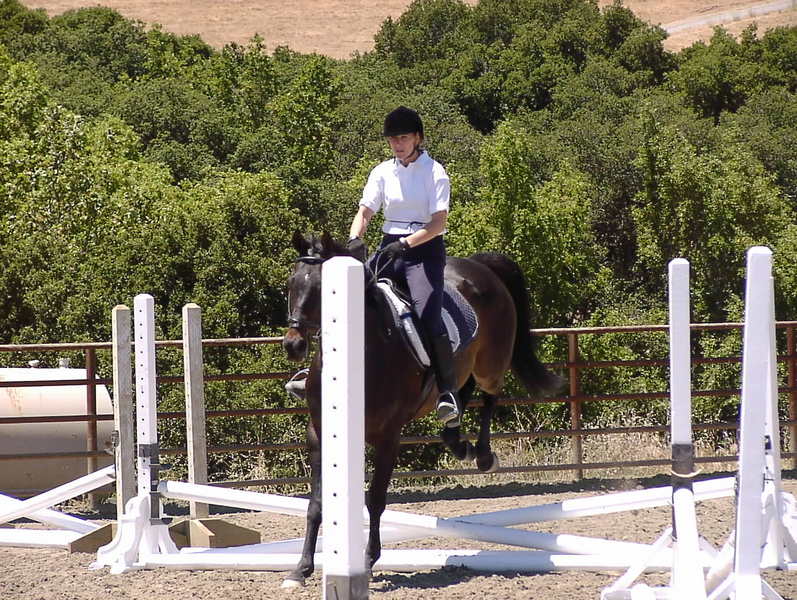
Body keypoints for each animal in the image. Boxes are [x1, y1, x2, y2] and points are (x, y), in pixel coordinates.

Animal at [281, 230, 563, 587]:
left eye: (321, 287)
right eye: (292, 283)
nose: (293, 345)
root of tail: (478, 265)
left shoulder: (388, 437)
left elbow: (375, 499)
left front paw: (368, 560)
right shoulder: (317, 435)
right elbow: (316, 504)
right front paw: (300, 569)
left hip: (490, 363)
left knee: (489, 394)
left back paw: (483, 454)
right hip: (464, 365)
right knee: (459, 388)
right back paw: (456, 438)